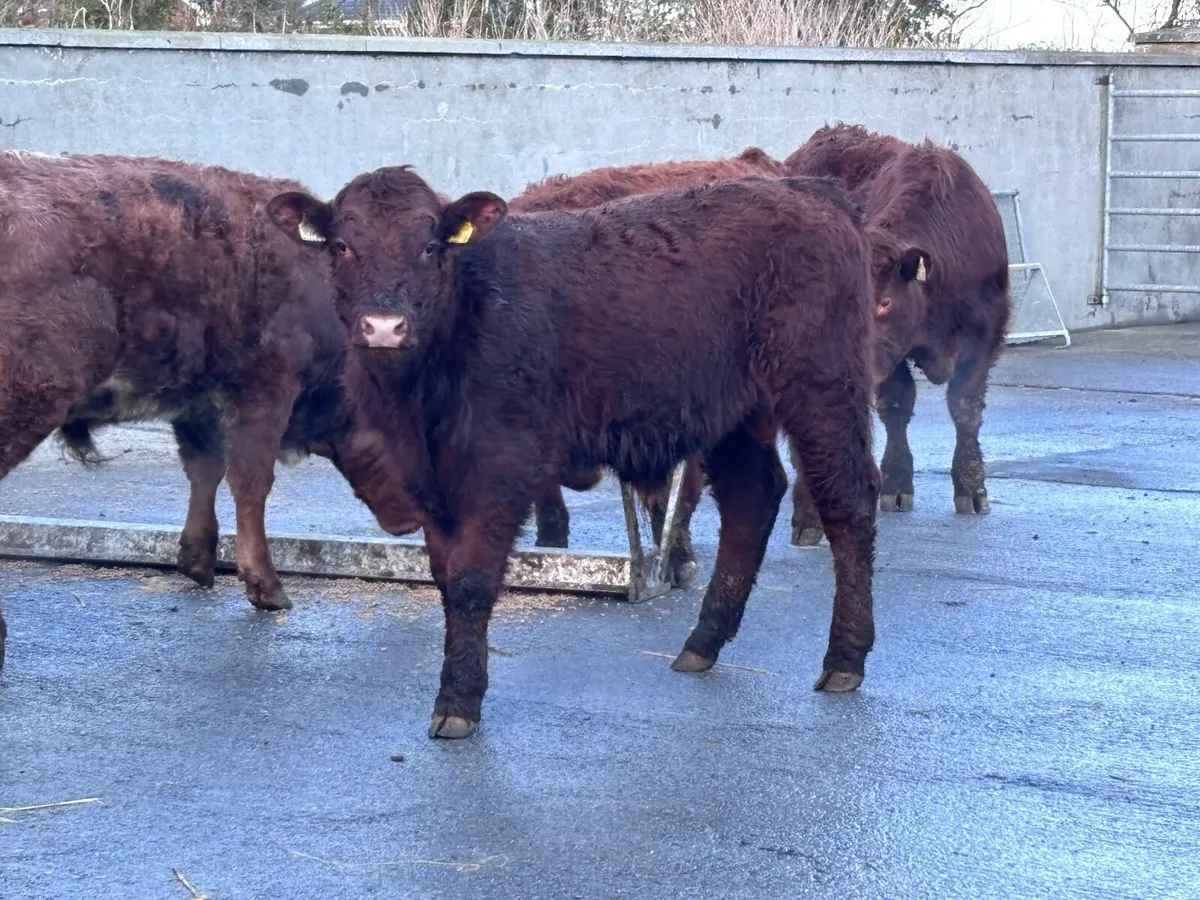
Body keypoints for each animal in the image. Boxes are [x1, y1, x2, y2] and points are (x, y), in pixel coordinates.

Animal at [0, 151, 425, 636]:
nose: (416, 519)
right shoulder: (266, 389)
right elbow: (250, 481)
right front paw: (265, 586)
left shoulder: (197, 403)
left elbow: (205, 471)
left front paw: (197, 561)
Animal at [783, 123, 1012, 544]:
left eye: (885, 302)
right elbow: (897, 405)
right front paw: (896, 484)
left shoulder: (986, 333)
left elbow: (965, 407)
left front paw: (972, 488)